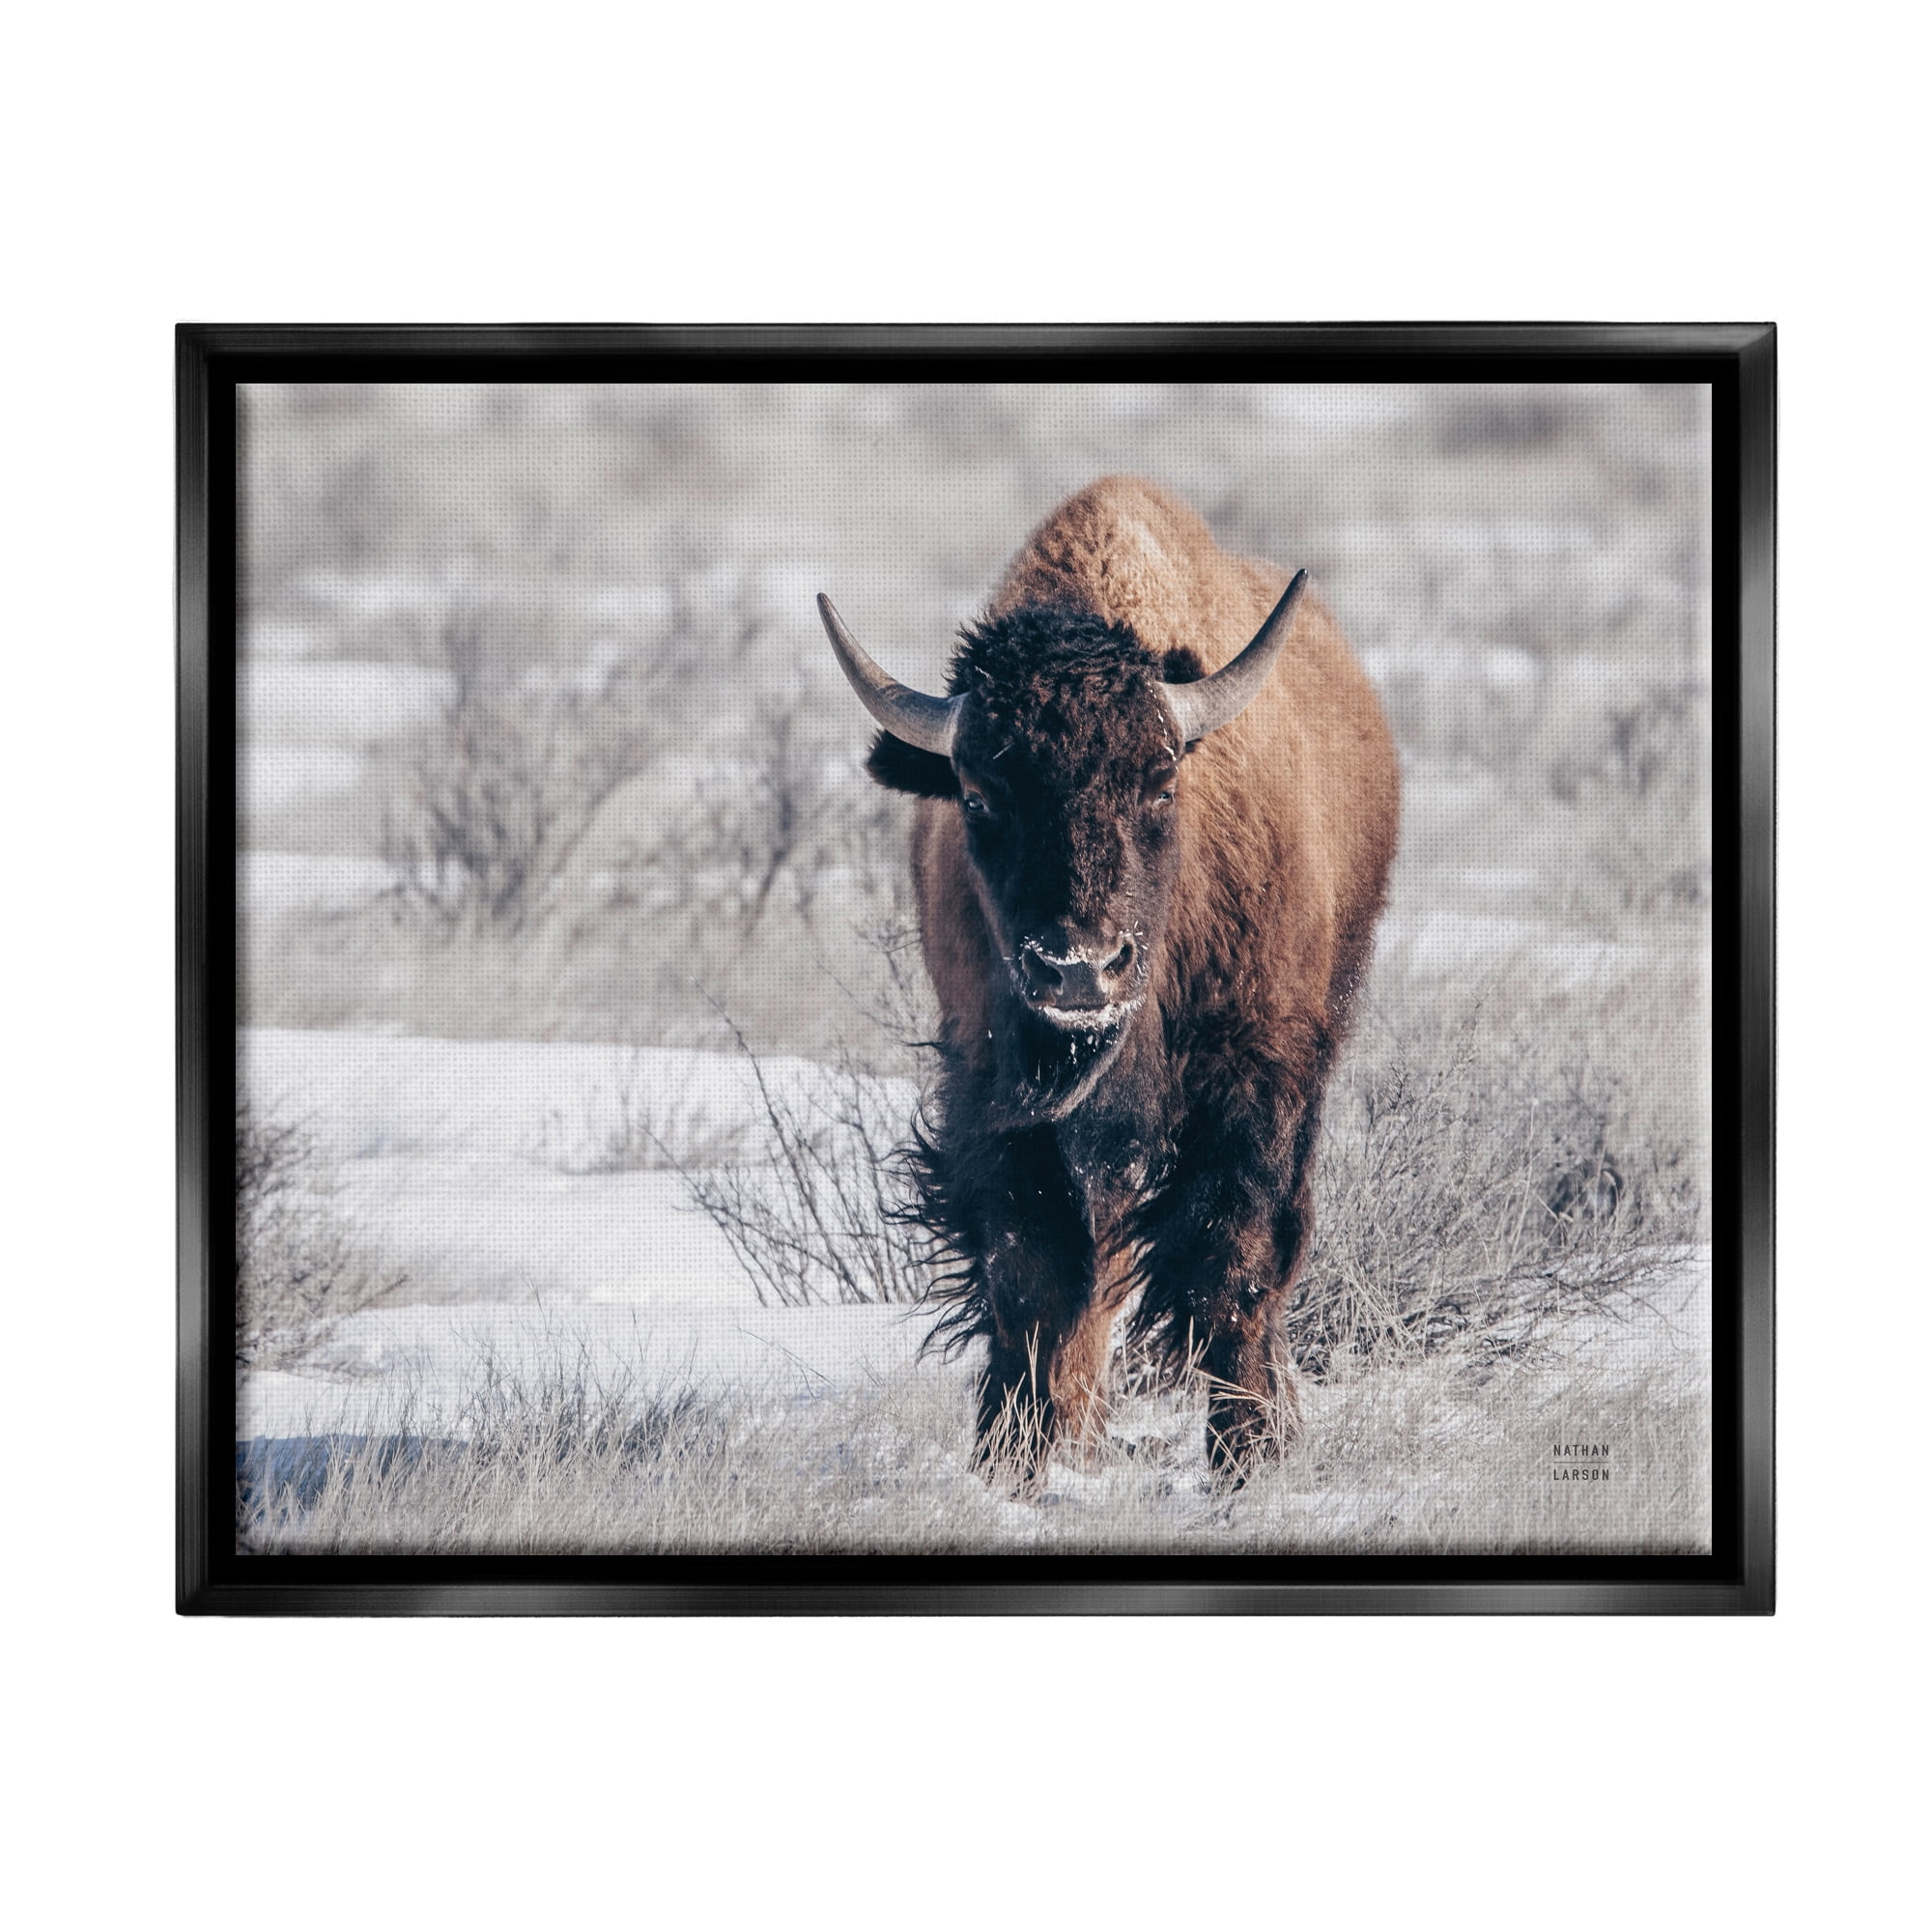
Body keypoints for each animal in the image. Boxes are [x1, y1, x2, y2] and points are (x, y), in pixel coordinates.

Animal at [819, 476, 1399, 1479]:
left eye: (1160, 784)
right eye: (978, 797)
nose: (1078, 970)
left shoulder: (1255, 1083)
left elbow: (1234, 1263)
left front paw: (1247, 1458)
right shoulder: (995, 1095)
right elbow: (1031, 1276)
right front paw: (1011, 1459)